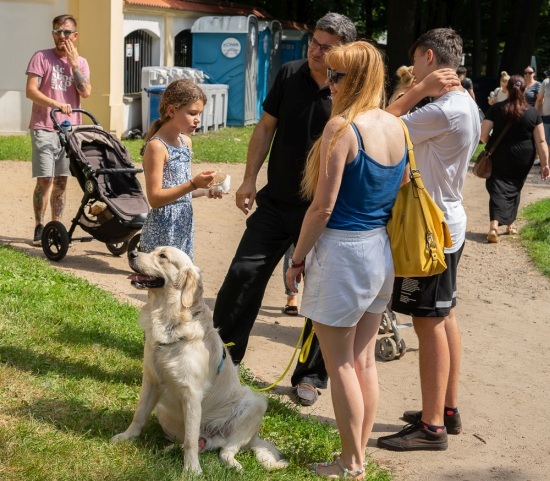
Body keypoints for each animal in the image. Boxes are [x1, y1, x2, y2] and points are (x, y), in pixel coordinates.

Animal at [110, 246, 292, 474]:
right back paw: (169, 450)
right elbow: (139, 414)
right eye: (153, 251)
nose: (131, 252)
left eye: (163, 256)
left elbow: (190, 439)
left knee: (224, 450)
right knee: (198, 444)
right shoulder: (151, 380)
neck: (168, 320)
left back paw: (233, 464)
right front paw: (127, 437)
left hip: (255, 404)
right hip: (163, 410)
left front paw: (191, 470)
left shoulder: (192, 394)